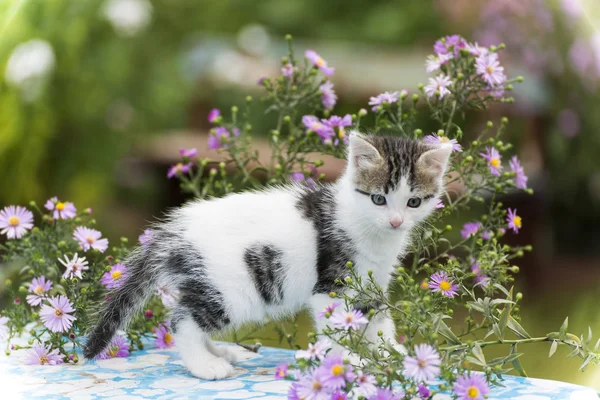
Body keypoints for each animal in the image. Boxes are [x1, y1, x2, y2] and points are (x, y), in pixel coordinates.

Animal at [83, 133, 450, 380]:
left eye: (413, 202)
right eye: (378, 199)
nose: (396, 221)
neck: (369, 229)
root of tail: (175, 229)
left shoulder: (372, 281)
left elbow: (378, 318)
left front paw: (395, 353)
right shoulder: (330, 283)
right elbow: (335, 324)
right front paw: (347, 360)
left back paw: (219, 351)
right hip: (231, 291)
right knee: (182, 322)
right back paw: (206, 365)